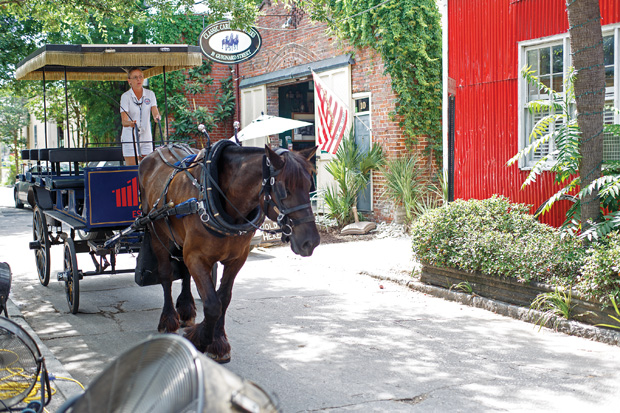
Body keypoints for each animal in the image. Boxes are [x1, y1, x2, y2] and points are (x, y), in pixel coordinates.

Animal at [136, 141, 320, 360]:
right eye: (284, 190)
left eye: (309, 185)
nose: (311, 242)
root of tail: (157, 151)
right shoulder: (196, 257)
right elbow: (212, 304)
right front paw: (200, 339)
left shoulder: (236, 259)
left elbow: (223, 298)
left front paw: (218, 343)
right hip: (156, 232)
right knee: (165, 275)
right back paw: (168, 319)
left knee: (185, 273)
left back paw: (187, 310)